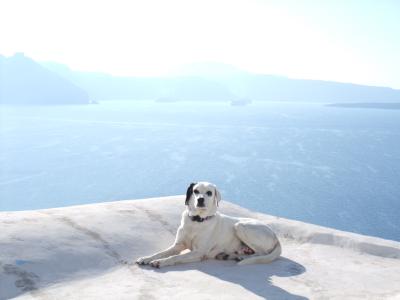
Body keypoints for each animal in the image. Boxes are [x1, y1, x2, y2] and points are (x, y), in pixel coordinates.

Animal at [136, 182, 280, 268]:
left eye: (209, 193)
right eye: (195, 191)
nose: (200, 199)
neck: (196, 221)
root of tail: (275, 235)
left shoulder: (198, 252)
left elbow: (176, 257)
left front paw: (160, 262)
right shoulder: (178, 246)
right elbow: (161, 253)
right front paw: (146, 258)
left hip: (240, 226)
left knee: (261, 253)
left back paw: (241, 257)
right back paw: (229, 255)